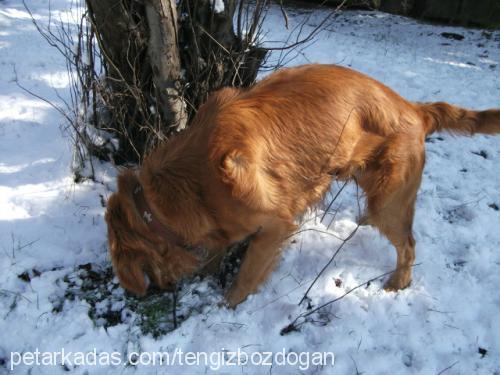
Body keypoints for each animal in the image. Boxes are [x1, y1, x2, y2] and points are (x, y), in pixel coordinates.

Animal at [105, 64, 500, 306]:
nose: (150, 294)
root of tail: (413, 108)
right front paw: (208, 270)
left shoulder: (275, 225)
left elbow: (247, 275)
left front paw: (226, 306)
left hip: (390, 199)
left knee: (409, 244)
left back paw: (397, 283)